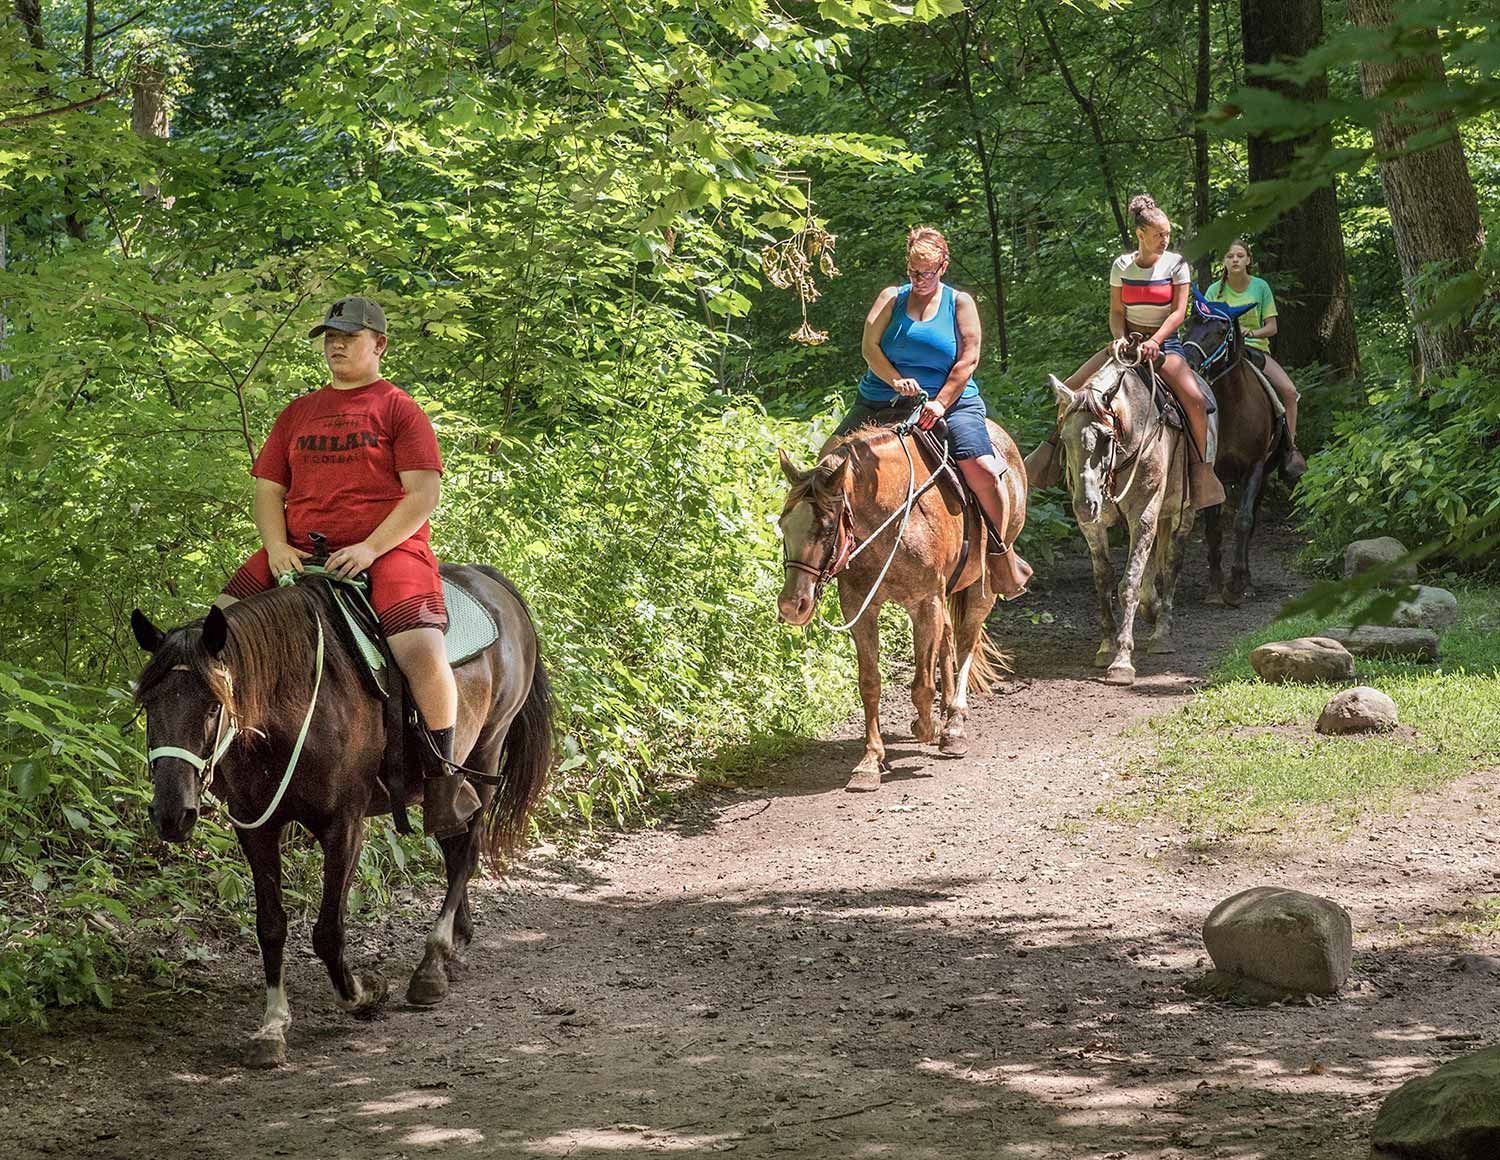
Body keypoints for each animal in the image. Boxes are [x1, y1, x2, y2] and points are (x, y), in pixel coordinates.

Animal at [131, 565, 552, 1069]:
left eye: (214, 705)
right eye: (149, 704)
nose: (172, 814)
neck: (290, 707)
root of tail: (490, 582)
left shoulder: (344, 826)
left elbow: (328, 932)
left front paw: (364, 994)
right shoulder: (256, 826)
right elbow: (270, 926)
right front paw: (273, 1026)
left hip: (485, 753)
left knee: (465, 854)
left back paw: (432, 965)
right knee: (454, 849)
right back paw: (456, 947)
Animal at [776, 415, 1021, 791]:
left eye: (827, 528)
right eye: (782, 524)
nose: (793, 605)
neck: (891, 519)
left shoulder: (925, 603)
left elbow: (922, 684)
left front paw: (926, 727)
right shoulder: (859, 607)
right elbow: (869, 682)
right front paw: (869, 761)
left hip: (983, 586)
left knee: (966, 641)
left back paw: (954, 725)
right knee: (948, 638)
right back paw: (946, 710)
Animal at [1048, 342, 1195, 685]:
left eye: (1106, 437)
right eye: (1064, 437)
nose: (1084, 504)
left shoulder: (1143, 514)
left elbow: (1128, 583)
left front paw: (1122, 660)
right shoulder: (1095, 525)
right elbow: (1104, 579)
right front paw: (1106, 646)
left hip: (1183, 511)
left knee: (1172, 561)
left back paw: (1161, 631)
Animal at [1182, 289, 1284, 606]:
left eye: (1219, 330)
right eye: (1189, 324)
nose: (1187, 362)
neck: (1233, 407)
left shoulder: (1254, 469)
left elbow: (1243, 522)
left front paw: (1237, 583)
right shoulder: (1211, 472)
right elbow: (1212, 529)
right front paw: (1215, 585)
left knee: (1251, 523)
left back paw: (1248, 582)